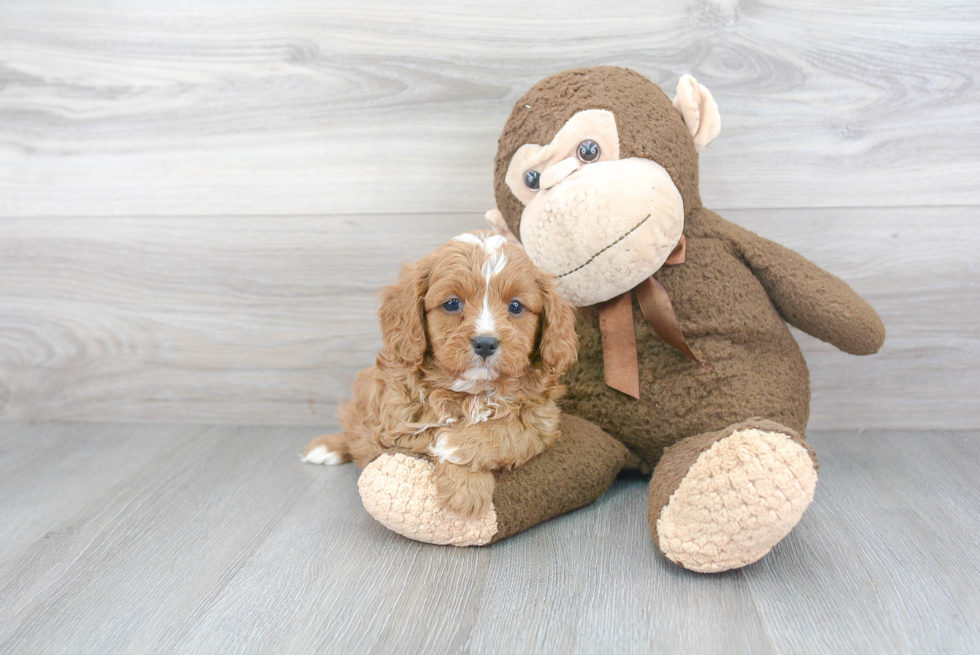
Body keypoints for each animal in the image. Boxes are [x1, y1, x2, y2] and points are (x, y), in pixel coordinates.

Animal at [302, 231, 580, 524]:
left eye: (516, 306)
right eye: (452, 303)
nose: (485, 343)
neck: (474, 391)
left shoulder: (543, 419)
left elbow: (513, 431)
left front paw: (457, 449)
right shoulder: (398, 419)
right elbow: (430, 434)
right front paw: (466, 488)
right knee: (354, 427)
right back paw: (328, 447)